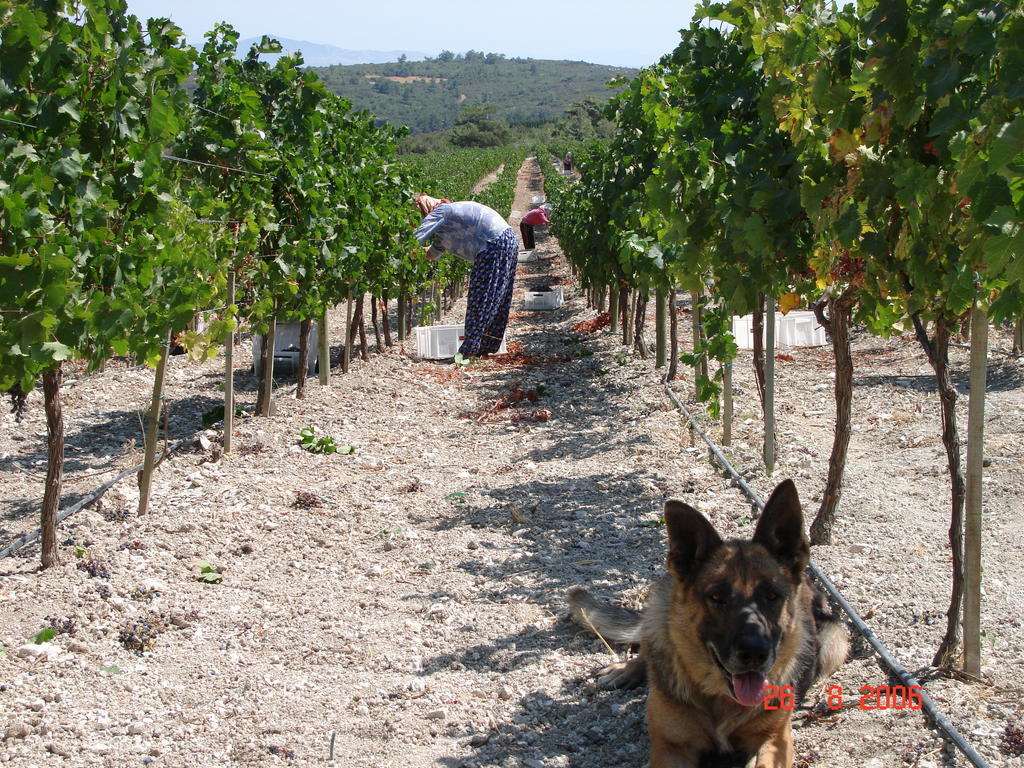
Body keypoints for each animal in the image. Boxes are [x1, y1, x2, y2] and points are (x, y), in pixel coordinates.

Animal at [569, 479, 847, 765]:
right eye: (717, 597)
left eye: (772, 596)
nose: (754, 653)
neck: (719, 698)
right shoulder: (671, 748)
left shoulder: (774, 740)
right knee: (650, 648)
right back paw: (627, 669)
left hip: (835, 641)